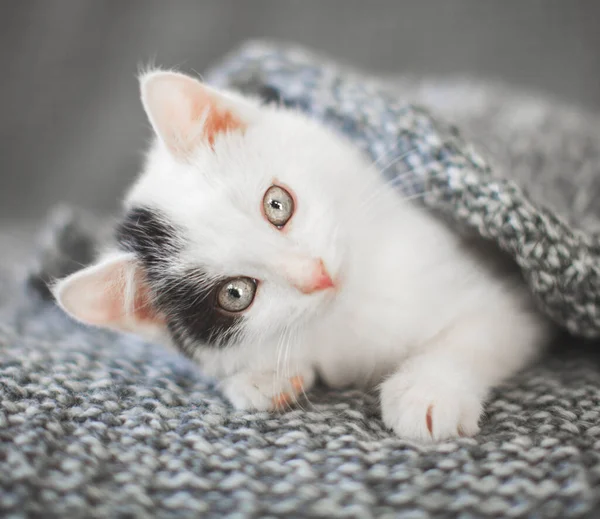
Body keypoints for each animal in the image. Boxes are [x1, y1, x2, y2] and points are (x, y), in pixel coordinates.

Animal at [54, 69, 552, 442]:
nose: (316, 275)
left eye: (277, 204)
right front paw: (259, 380)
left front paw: (428, 392)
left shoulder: (505, 298)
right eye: (236, 294)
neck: (351, 308)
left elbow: (480, 330)